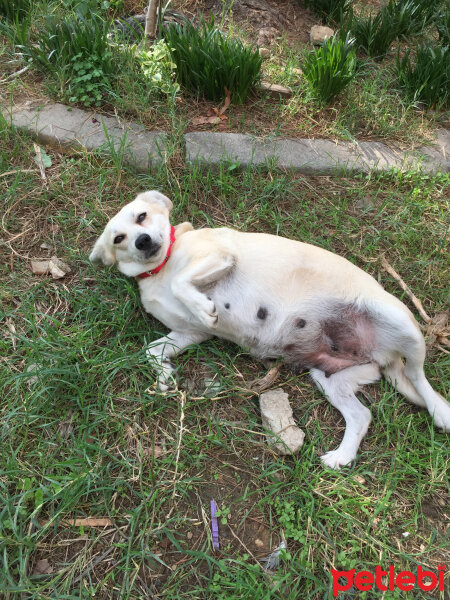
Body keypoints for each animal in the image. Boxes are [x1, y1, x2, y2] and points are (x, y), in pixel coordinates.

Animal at [89, 191, 450, 468]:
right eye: (118, 238)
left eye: (142, 216)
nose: (143, 240)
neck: (160, 268)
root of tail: (384, 355)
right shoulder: (191, 334)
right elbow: (152, 350)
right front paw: (164, 374)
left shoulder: (220, 257)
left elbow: (183, 282)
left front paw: (204, 307)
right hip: (329, 378)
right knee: (362, 416)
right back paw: (342, 456)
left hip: (401, 324)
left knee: (419, 377)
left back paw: (441, 412)